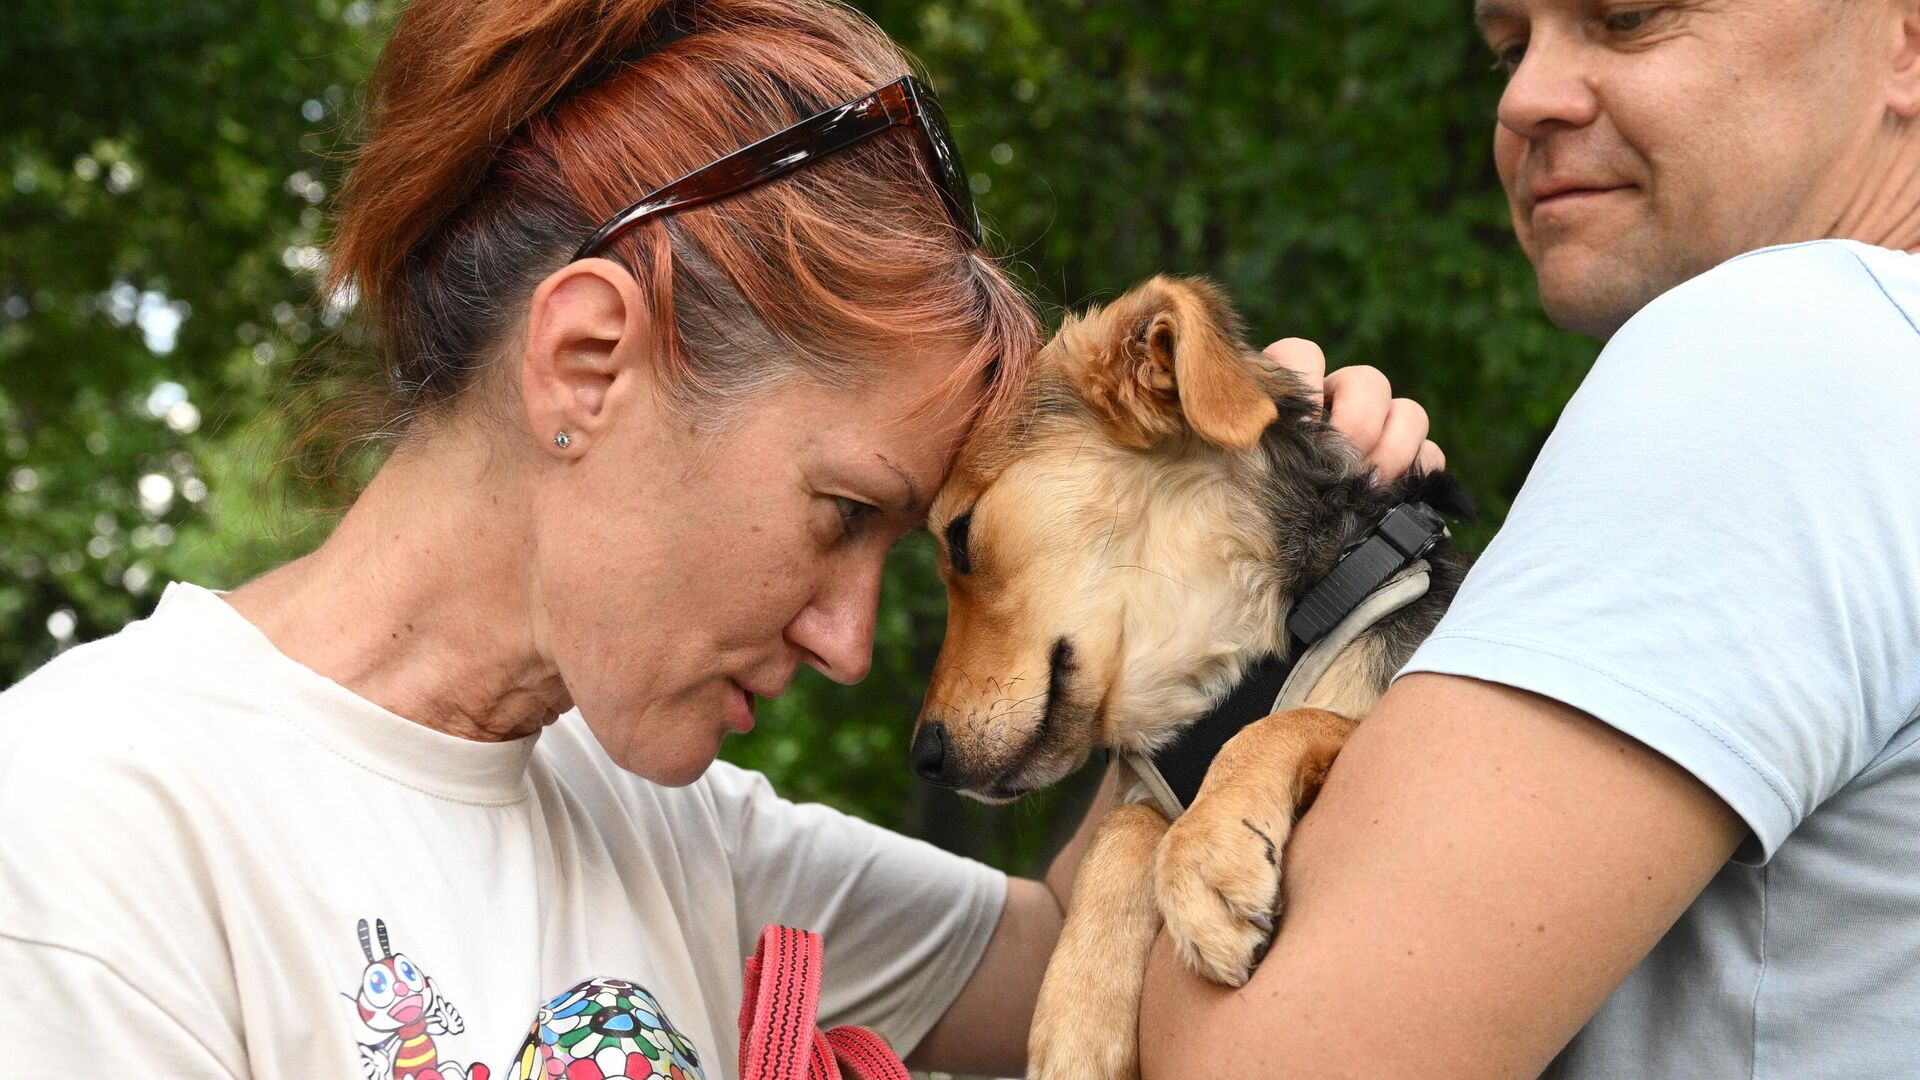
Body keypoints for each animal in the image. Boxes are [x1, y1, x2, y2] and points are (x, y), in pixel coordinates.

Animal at [913, 274, 1466, 1076]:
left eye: (958, 537)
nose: (924, 758)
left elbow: (1286, 722)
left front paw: (1208, 852)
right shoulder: (1151, 790)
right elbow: (1122, 828)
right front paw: (1077, 1016)